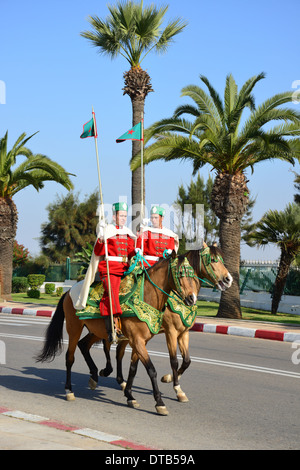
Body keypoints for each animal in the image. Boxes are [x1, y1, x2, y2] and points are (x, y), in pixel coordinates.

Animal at [36, 250, 203, 414]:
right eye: (180, 273)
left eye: (193, 275)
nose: (192, 299)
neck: (146, 296)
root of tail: (69, 292)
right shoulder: (149, 337)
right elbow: (153, 369)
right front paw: (160, 402)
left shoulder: (143, 341)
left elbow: (134, 368)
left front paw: (130, 395)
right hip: (74, 328)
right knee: (70, 357)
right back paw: (69, 390)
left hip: (97, 330)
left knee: (84, 345)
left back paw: (95, 376)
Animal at [74, 244, 232, 402]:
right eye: (213, 260)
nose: (228, 279)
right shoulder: (170, 331)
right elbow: (174, 360)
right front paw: (176, 388)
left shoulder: (183, 332)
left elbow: (187, 360)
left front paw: (169, 378)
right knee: (105, 345)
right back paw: (106, 373)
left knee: (107, 349)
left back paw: (116, 380)